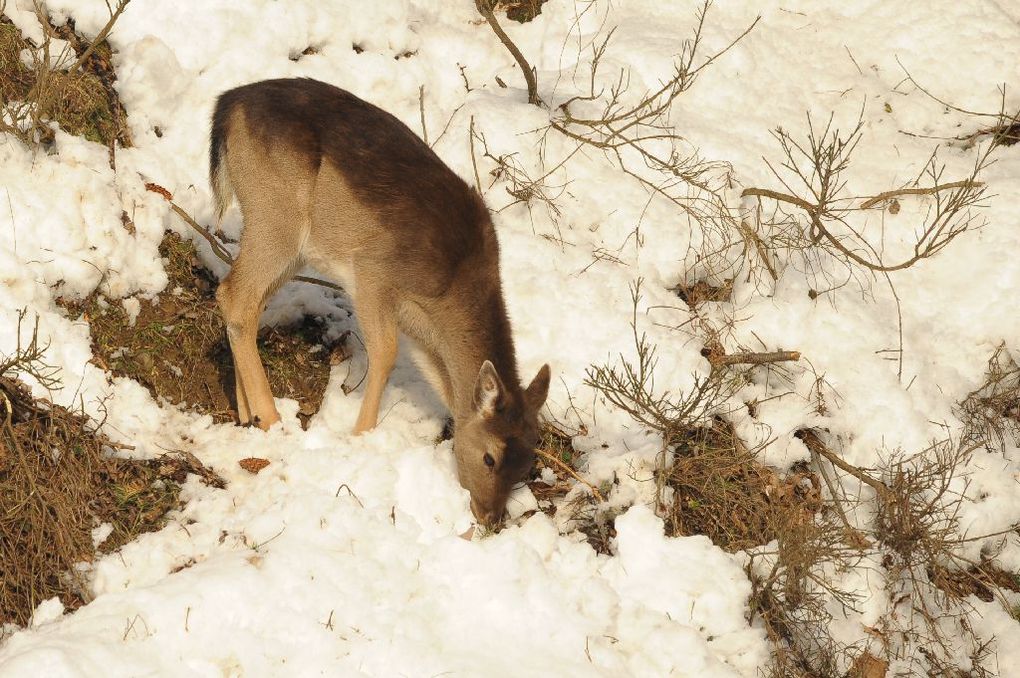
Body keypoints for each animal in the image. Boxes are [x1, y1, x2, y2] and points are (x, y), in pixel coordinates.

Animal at [206, 76, 550, 526]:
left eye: (527, 463)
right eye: (490, 457)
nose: (490, 518)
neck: (449, 291)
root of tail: (227, 105)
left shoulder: (420, 328)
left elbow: (443, 384)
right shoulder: (373, 272)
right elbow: (385, 351)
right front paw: (361, 437)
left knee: (242, 298)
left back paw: (247, 412)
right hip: (276, 214)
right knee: (234, 295)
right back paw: (271, 418)